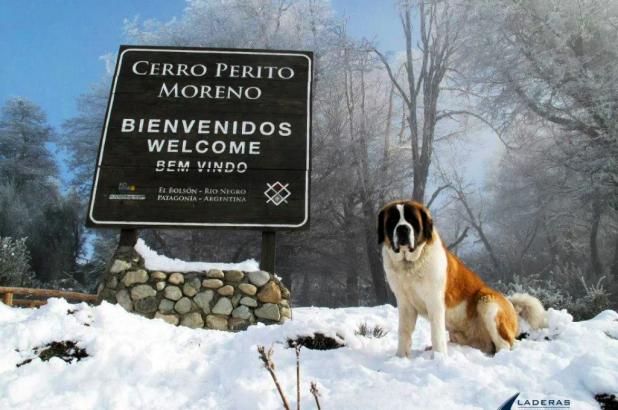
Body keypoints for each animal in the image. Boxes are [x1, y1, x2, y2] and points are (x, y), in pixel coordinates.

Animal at [378, 200, 548, 358]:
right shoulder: (405, 303)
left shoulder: (435, 302)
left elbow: (436, 333)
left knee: (505, 344)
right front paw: (401, 357)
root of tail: (510, 304)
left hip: (487, 302)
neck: (409, 265)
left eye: (412, 220)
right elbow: (404, 331)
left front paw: (439, 357)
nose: (402, 228)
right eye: (393, 221)